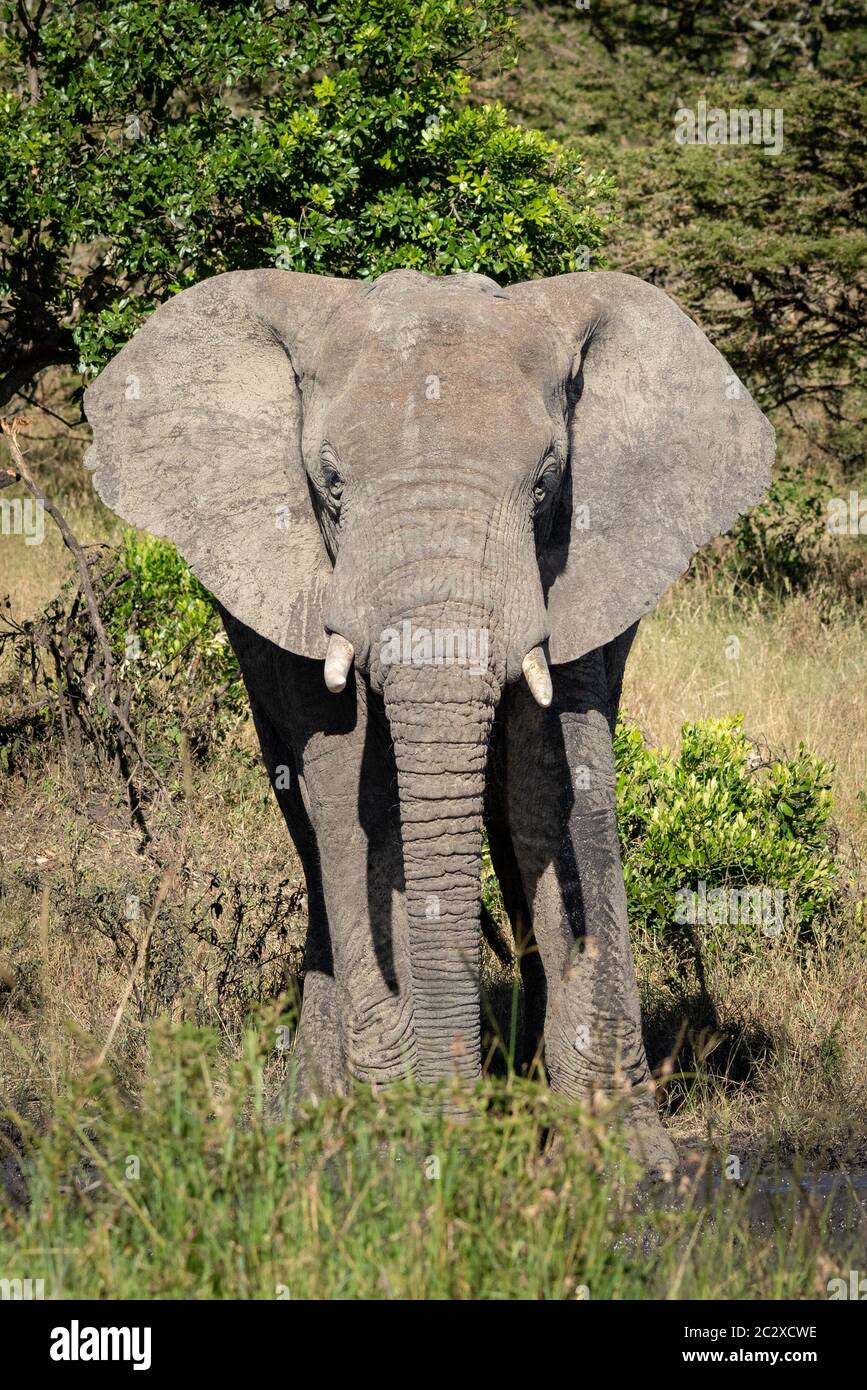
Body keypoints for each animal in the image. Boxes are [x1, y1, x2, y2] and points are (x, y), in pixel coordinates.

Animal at [83, 266, 774, 1172]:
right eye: (331, 483)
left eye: (546, 482)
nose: (456, 1130)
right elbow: (356, 800)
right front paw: (394, 1151)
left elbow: (556, 794)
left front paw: (628, 1168)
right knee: (310, 833)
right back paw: (309, 1120)